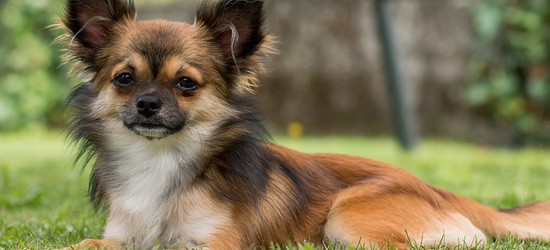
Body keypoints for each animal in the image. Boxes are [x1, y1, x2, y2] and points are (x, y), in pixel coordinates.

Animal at [57, 0, 550, 249]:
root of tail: (434, 188)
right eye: (124, 78)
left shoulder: (217, 245)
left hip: (347, 218)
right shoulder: (121, 236)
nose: (147, 104)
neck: (161, 162)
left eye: (185, 83)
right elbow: (84, 246)